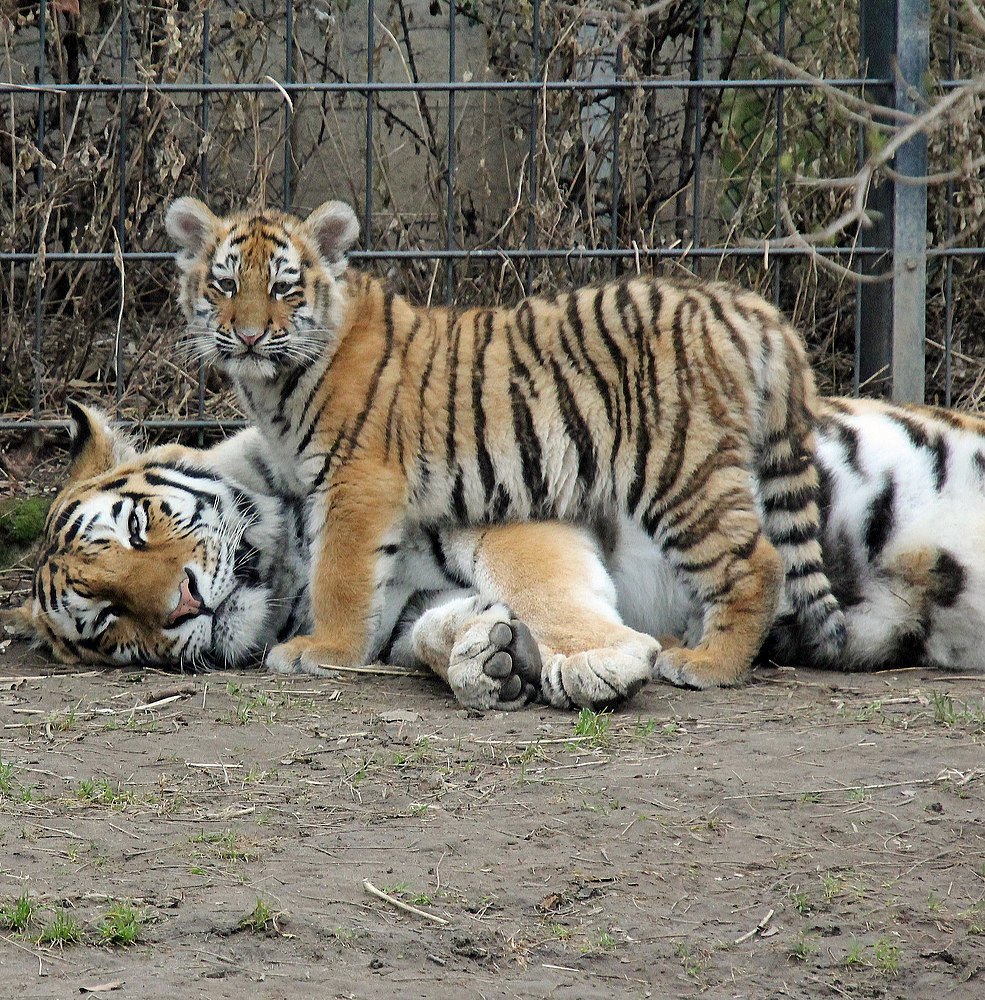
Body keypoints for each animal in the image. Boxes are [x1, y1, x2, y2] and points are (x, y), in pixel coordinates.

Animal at [161, 199, 844, 692]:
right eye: (225, 285)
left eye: (283, 288)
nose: (249, 336)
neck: (273, 384)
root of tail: (739, 303)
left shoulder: (356, 482)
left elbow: (341, 575)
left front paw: (322, 650)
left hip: (681, 467)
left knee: (758, 564)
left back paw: (709, 665)